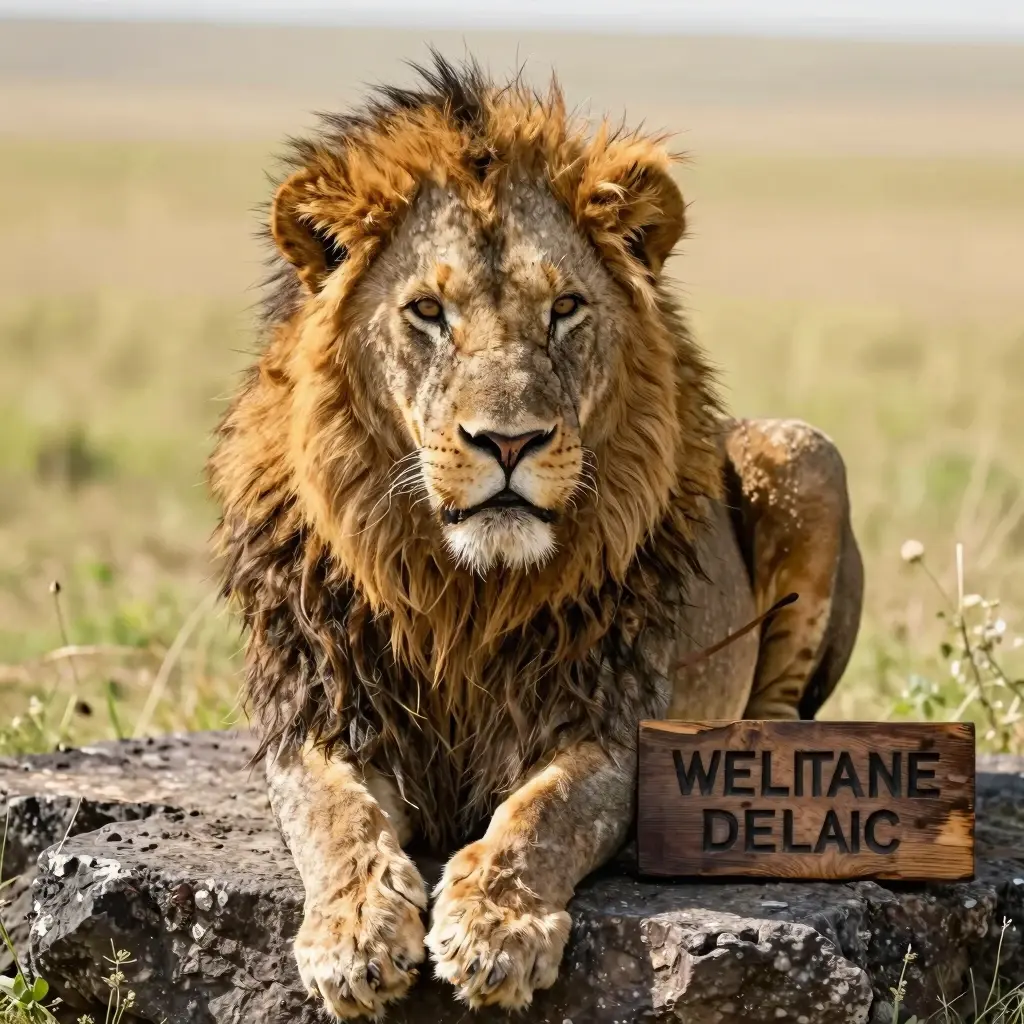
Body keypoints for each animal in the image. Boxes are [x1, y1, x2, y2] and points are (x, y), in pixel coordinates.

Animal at [207, 55, 863, 1020]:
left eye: (565, 307)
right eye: (428, 310)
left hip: (804, 452)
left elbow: (542, 815)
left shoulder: (616, 720)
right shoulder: (317, 708)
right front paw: (354, 936)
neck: (462, 592)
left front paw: (495, 930)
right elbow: (333, 815)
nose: (509, 442)